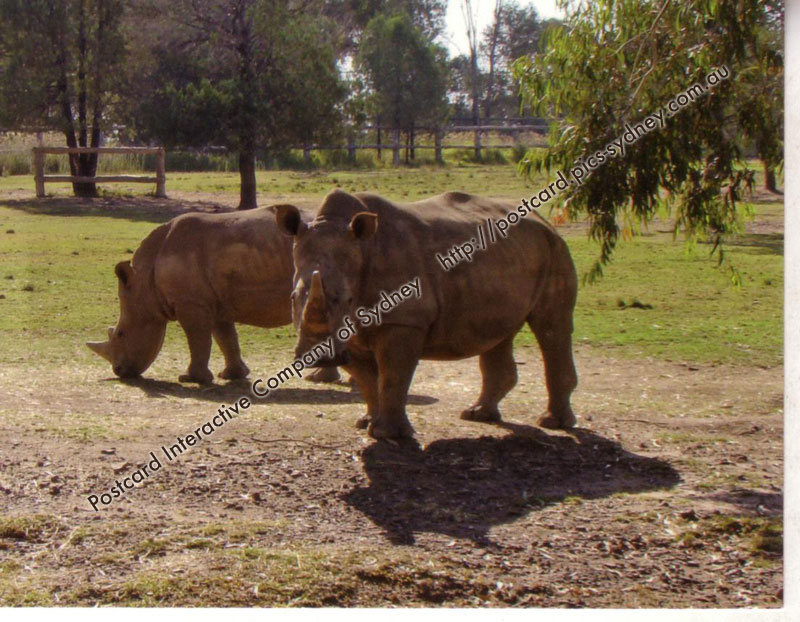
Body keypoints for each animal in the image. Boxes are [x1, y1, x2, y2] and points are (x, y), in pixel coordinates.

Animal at [87, 206, 339, 385]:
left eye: (121, 333)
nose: (119, 371)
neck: (146, 282)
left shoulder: (190, 302)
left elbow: (198, 338)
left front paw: (191, 379)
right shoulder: (215, 301)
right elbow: (225, 337)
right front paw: (231, 375)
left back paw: (318, 378)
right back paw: (323, 378)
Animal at [275, 189, 578, 440]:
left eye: (348, 299)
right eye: (292, 298)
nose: (321, 356)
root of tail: (544, 221)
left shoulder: (405, 320)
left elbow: (393, 376)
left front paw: (388, 434)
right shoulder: (350, 330)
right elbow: (368, 380)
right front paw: (367, 422)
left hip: (555, 249)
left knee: (552, 327)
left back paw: (553, 423)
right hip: (513, 257)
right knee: (499, 331)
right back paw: (478, 415)